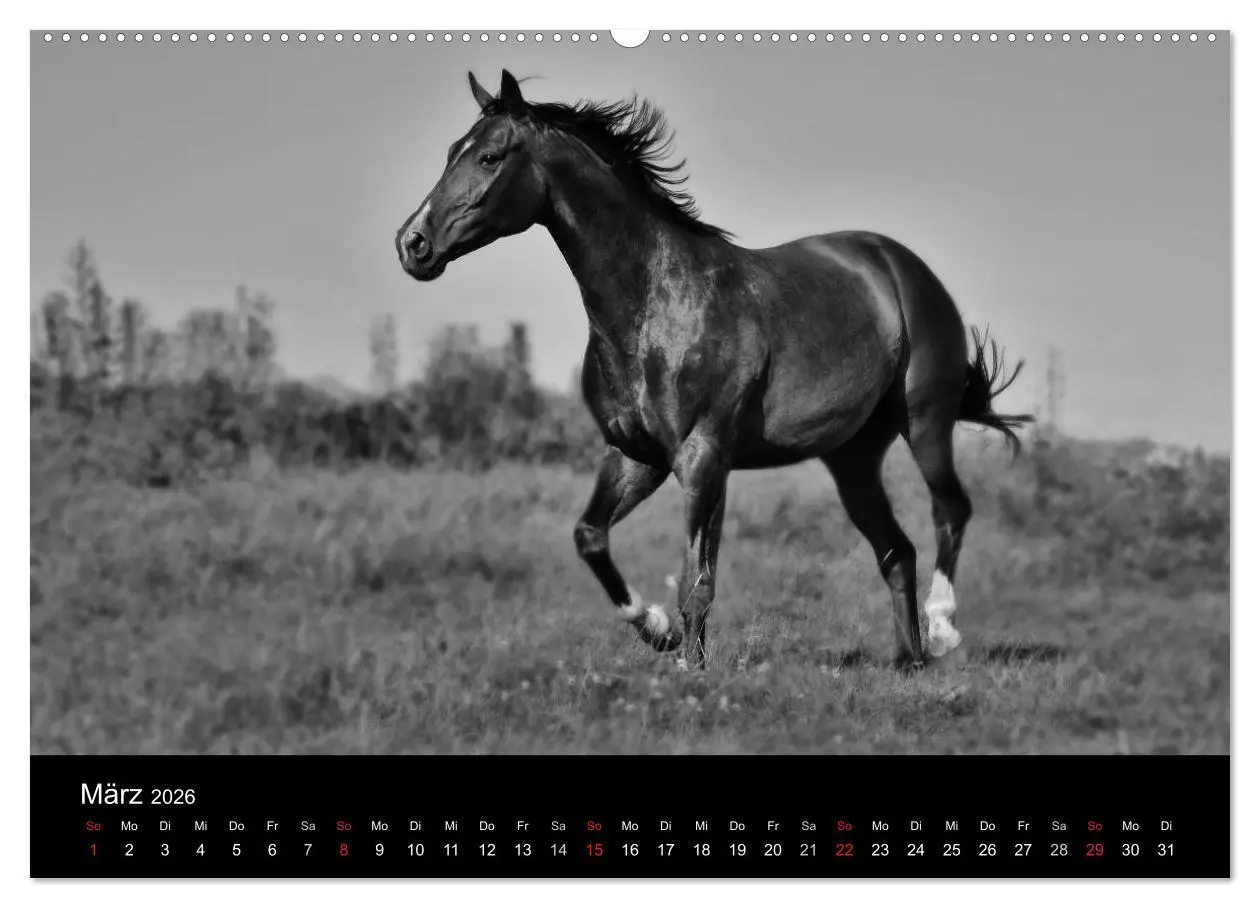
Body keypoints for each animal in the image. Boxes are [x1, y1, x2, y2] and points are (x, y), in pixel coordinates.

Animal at [395, 70, 1030, 669]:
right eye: (452, 150)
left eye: (489, 156)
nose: (413, 244)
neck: (656, 306)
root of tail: (902, 265)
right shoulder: (636, 456)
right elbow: (590, 537)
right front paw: (658, 631)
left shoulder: (702, 457)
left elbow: (697, 582)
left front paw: (691, 669)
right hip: (852, 458)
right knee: (897, 550)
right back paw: (909, 660)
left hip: (925, 422)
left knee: (949, 510)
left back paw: (942, 630)